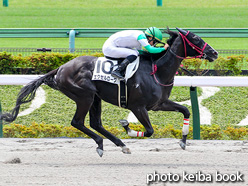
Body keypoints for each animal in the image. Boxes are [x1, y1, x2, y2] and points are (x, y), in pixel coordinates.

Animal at [0, 27, 218, 156]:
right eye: (196, 38)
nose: (214, 53)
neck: (156, 70)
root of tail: (61, 68)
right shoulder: (138, 107)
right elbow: (149, 130)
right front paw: (127, 127)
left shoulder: (158, 104)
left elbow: (186, 111)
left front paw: (183, 140)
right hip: (84, 96)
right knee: (77, 122)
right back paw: (104, 143)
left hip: (95, 98)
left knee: (95, 123)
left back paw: (118, 144)